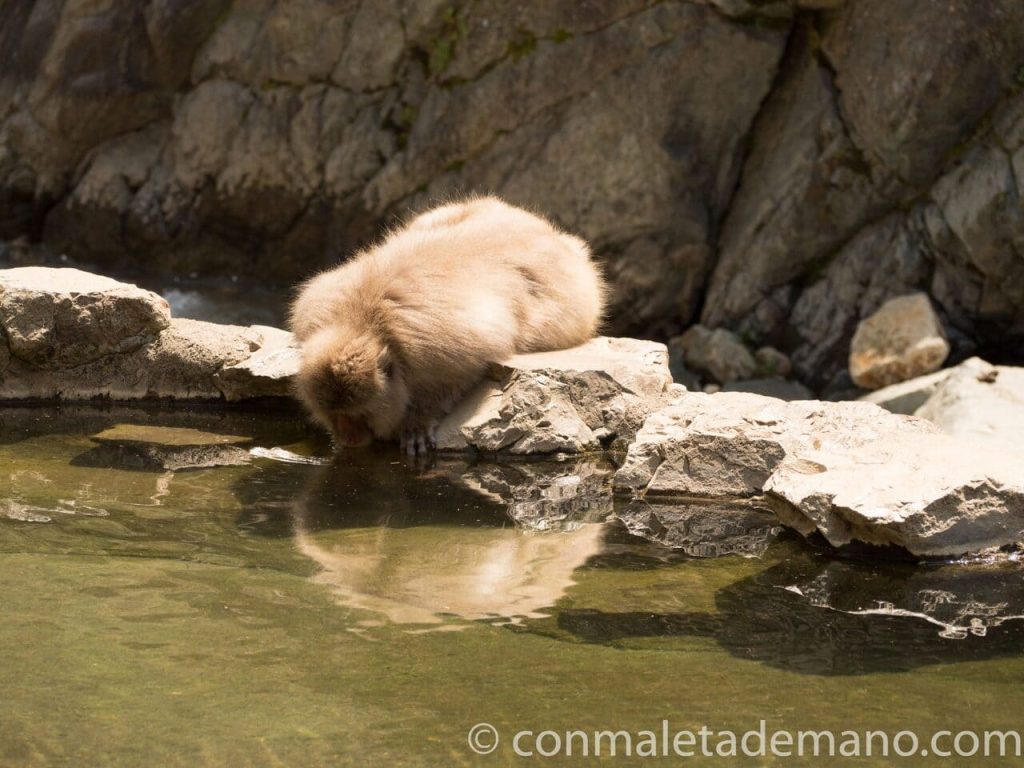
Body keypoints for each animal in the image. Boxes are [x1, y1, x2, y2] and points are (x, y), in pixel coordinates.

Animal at [289, 196, 606, 454]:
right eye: (335, 415)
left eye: (357, 416)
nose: (348, 437)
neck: (361, 322)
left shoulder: (440, 348)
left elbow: (455, 378)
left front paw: (417, 421)